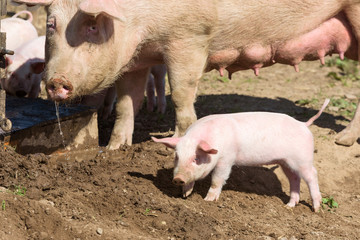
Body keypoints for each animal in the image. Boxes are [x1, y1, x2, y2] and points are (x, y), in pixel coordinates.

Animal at [152, 98, 330, 211]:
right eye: (177, 157)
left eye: (196, 158)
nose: (177, 179)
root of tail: (304, 124)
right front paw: (185, 194)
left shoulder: (227, 159)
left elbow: (218, 179)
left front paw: (208, 200)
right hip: (286, 162)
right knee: (294, 178)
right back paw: (288, 206)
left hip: (303, 158)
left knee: (312, 175)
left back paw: (316, 208)